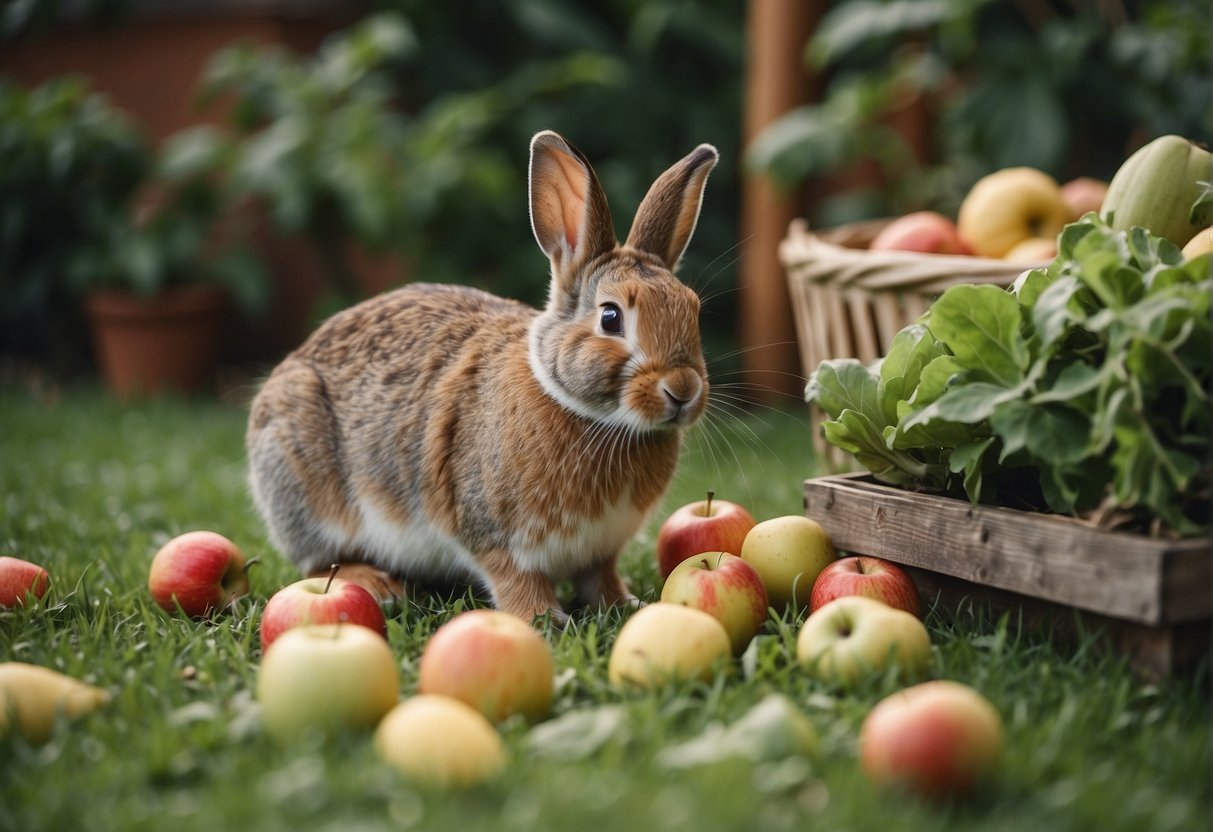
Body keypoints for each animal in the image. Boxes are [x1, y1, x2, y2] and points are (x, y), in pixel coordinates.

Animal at [247, 130, 718, 620]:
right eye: (610, 318)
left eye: (693, 311)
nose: (683, 390)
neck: (597, 418)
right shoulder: (492, 535)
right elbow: (514, 578)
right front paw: (542, 618)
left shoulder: (600, 551)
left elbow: (600, 577)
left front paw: (625, 604)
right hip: (301, 482)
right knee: (319, 563)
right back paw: (375, 583)